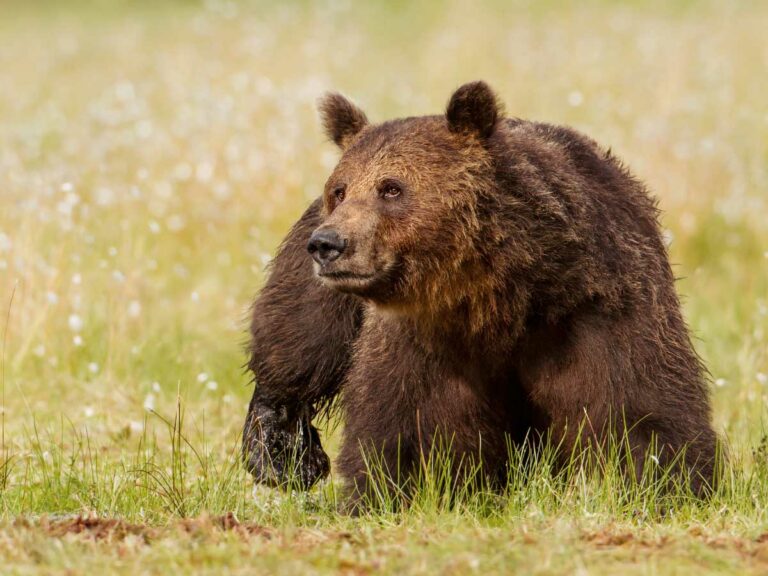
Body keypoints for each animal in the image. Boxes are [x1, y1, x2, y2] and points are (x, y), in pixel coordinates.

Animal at [242, 80, 720, 504]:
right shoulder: (423, 338)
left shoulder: (597, 308)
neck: (499, 298)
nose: (328, 244)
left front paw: (667, 486)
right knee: (298, 337)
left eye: (391, 187)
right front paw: (397, 492)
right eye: (340, 189)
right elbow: (409, 422)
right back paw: (282, 451)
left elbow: (640, 406)